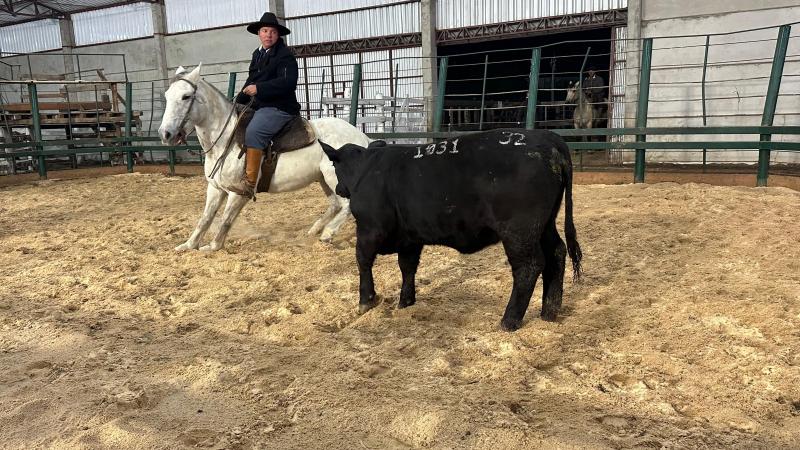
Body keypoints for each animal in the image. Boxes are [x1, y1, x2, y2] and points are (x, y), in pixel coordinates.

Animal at [158, 65, 370, 251]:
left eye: (186, 96)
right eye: (167, 96)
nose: (165, 134)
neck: (226, 138)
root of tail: (362, 137)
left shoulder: (238, 193)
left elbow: (226, 219)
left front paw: (212, 246)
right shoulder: (215, 188)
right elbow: (205, 218)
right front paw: (188, 245)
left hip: (334, 178)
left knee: (347, 205)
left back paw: (327, 233)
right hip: (323, 179)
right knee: (335, 204)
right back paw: (315, 229)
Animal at [322, 130, 584, 330]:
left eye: (334, 164)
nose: (339, 188)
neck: (366, 170)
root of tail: (548, 139)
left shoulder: (369, 229)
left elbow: (363, 261)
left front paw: (366, 301)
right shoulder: (410, 238)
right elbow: (407, 267)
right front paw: (406, 302)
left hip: (519, 230)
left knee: (529, 266)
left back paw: (509, 321)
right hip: (544, 225)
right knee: (557, 253)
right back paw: (549, 311)